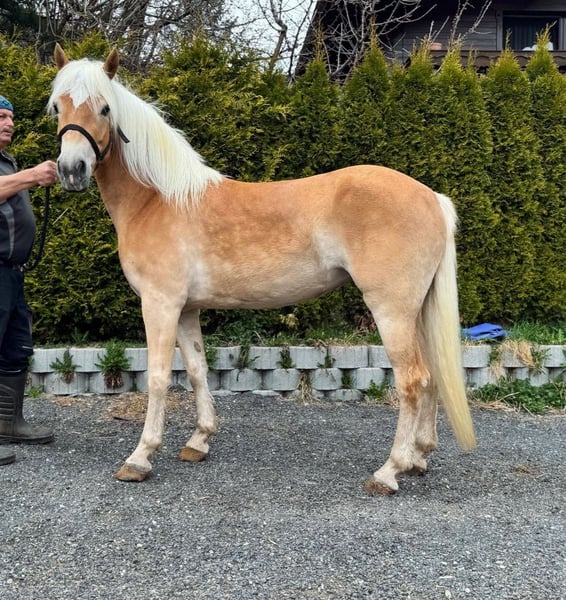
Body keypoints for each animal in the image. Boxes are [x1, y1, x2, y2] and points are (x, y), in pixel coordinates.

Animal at [49, 45, 476, 495]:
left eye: (105, 108)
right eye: (58, 106)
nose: (72, 170)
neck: (158, 200)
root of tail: (432, 197)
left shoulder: (160, 304)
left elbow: (159, 377)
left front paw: (140, 457)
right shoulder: (186, 308)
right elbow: (198, 370)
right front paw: (199, 441)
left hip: (391, 310)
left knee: (413, 380)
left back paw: (389, 471)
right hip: (418, 310)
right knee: (432, 376)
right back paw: (419, 457)